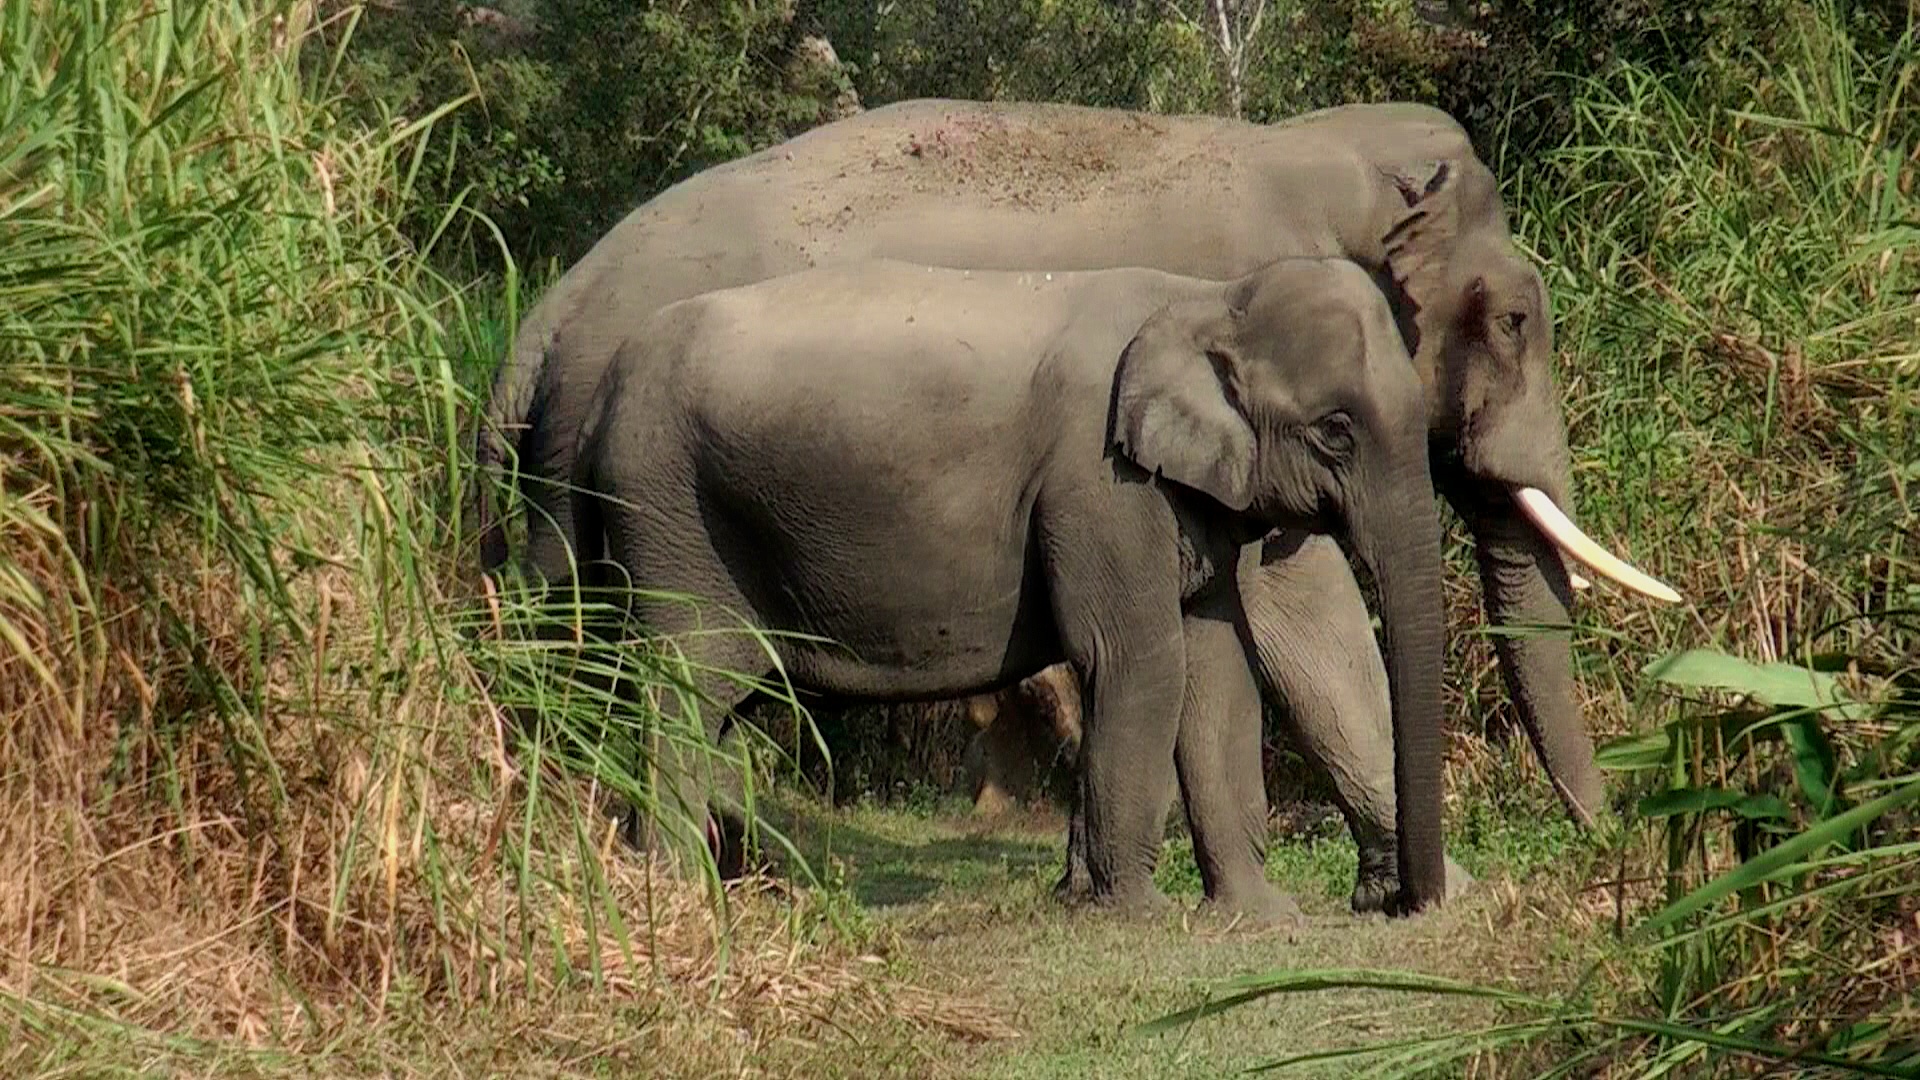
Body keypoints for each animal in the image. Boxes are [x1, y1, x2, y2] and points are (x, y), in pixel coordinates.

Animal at [564, 255, 1450, 917]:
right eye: (1335, 430)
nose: (1398, 905)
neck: (1204, 297)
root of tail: (600, 390)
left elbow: (1218, 668)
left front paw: (1258, 918)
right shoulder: (1099, 483)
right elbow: (1139, 659)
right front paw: (1138, 914)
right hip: (670, 515)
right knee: (686, 687)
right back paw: (679, 891)